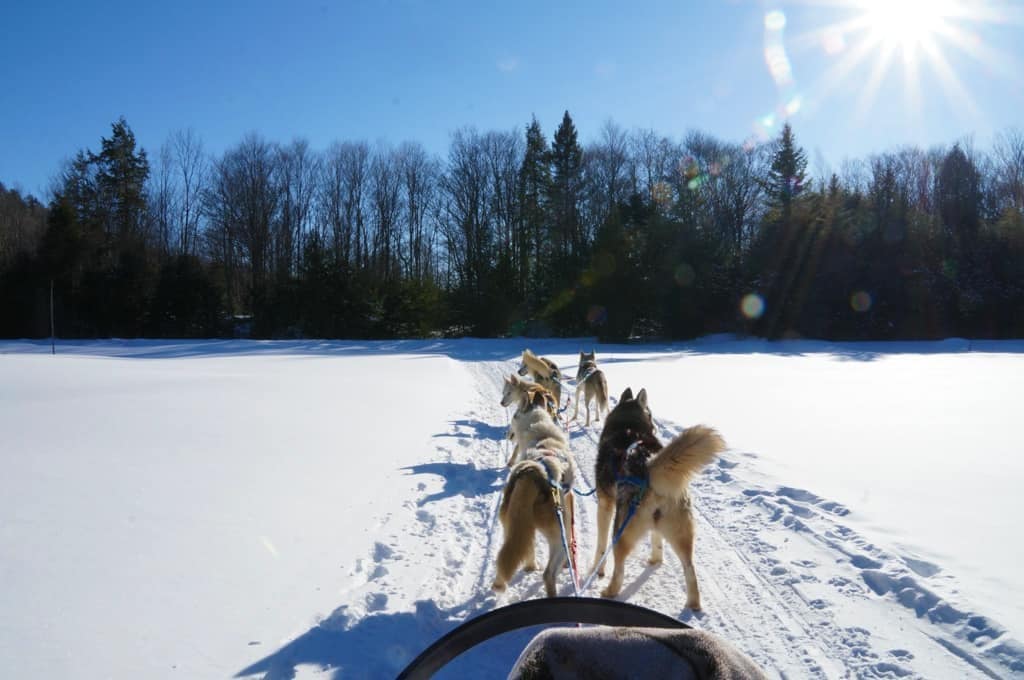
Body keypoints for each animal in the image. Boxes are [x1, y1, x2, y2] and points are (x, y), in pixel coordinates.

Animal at [493, 385, 581, 598]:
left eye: (514, 415)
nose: (507, 433)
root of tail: (533, 472)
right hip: (559, 536)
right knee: (549, 573)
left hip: (513, 524)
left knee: (518, 549)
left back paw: (527, 568)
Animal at [589, 387, 724, 610]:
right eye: (651, 413)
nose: (656, 427)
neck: (627, 426)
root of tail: (648, 465)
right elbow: (656, 539)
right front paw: (655, 558)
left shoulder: (605, 504)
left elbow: (600, 546)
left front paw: (596, 570)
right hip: (680, 532)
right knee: (690, 570)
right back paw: (693, 603)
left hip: (621, 529)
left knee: (619, 569)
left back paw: (609, 592)